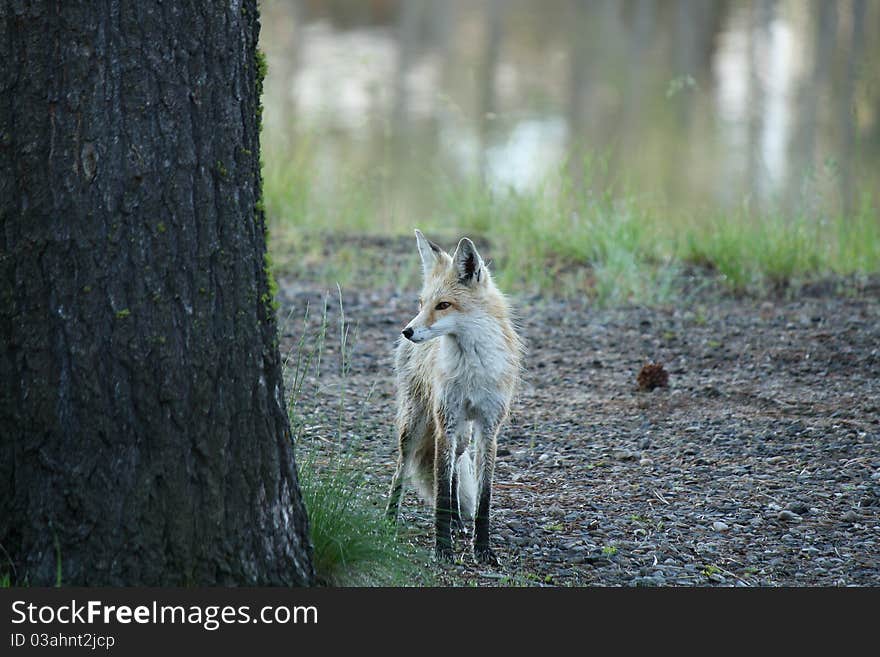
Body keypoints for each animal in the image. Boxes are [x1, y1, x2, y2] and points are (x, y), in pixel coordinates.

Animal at [384, 228, 524, 560]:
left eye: (443, 305)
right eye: (423, 303)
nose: (407, 331)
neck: (472, 368)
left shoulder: (488, 428)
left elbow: (483, 496)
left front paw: (482, 548)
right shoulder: (444, 422)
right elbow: (441, 493)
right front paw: (442, 547)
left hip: (462, 436)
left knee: (455, 472)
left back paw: (460, 522)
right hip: (415, 425)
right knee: (402, 471)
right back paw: (389, 519)